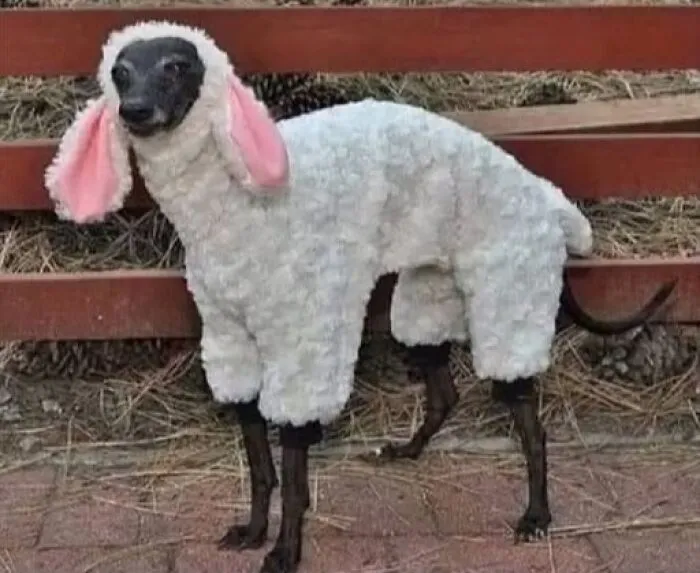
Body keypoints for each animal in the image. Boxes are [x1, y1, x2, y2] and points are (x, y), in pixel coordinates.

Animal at [44, 21, 676, 573]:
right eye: (120, 72)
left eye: (176, 67)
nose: (135, 112)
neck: (235, 208)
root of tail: (549, 204)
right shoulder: (230, 341)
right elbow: (260, 465)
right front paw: (253, 531)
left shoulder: (303, 346)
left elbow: (294, 474)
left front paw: (285, 551)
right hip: (425, 307)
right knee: (444, 393)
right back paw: (407, 451)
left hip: (508, 301)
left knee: (533, 428)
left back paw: (536, 516)